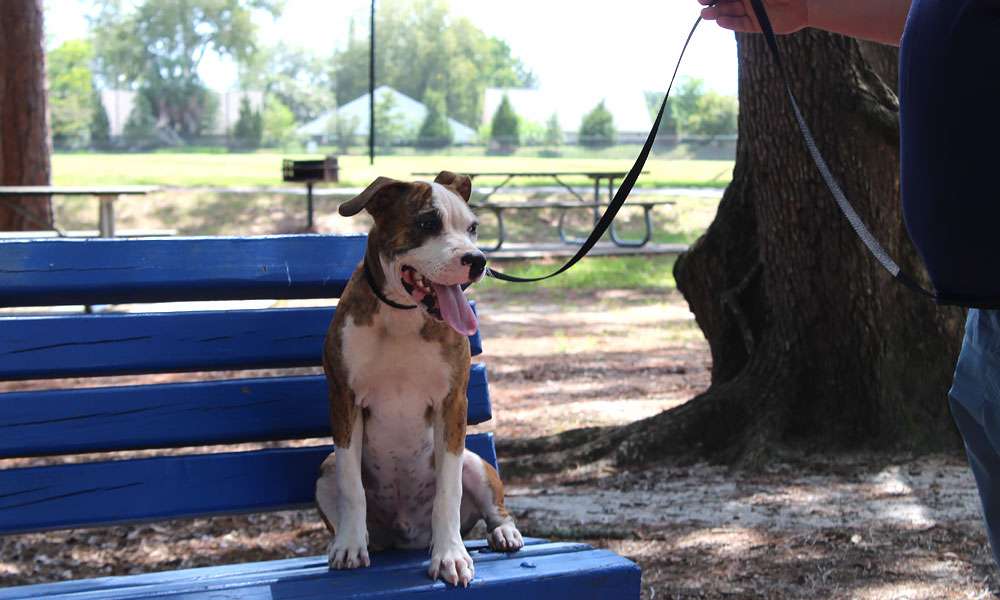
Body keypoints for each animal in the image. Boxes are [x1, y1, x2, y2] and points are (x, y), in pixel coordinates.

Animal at [316, 169, 524, 584]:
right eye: (428, 223)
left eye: (473, 227)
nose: (477, 260)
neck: (403, 315)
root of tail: (407, 535)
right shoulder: (344, 399)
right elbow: (352, 486)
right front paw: (349, 546)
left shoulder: (452, 403)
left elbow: (448, 491)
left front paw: (450, 556)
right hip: (324, 470)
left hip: (476, 463)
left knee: (494, 506)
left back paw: (504, 533)